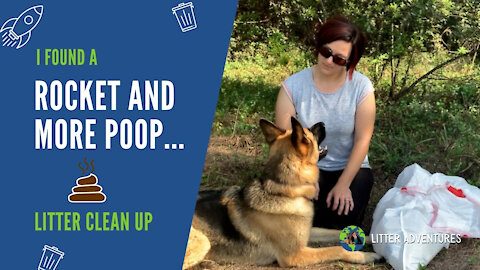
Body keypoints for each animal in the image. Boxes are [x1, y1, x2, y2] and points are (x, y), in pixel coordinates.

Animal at [182, 117, 380, 268]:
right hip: (204, 241)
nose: (323, 123)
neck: (284, 191)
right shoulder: (295, 255)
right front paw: (365, 256)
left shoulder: (308, 233)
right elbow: (336, 249)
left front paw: (371, 238)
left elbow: (334, 231)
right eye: (309, 132)